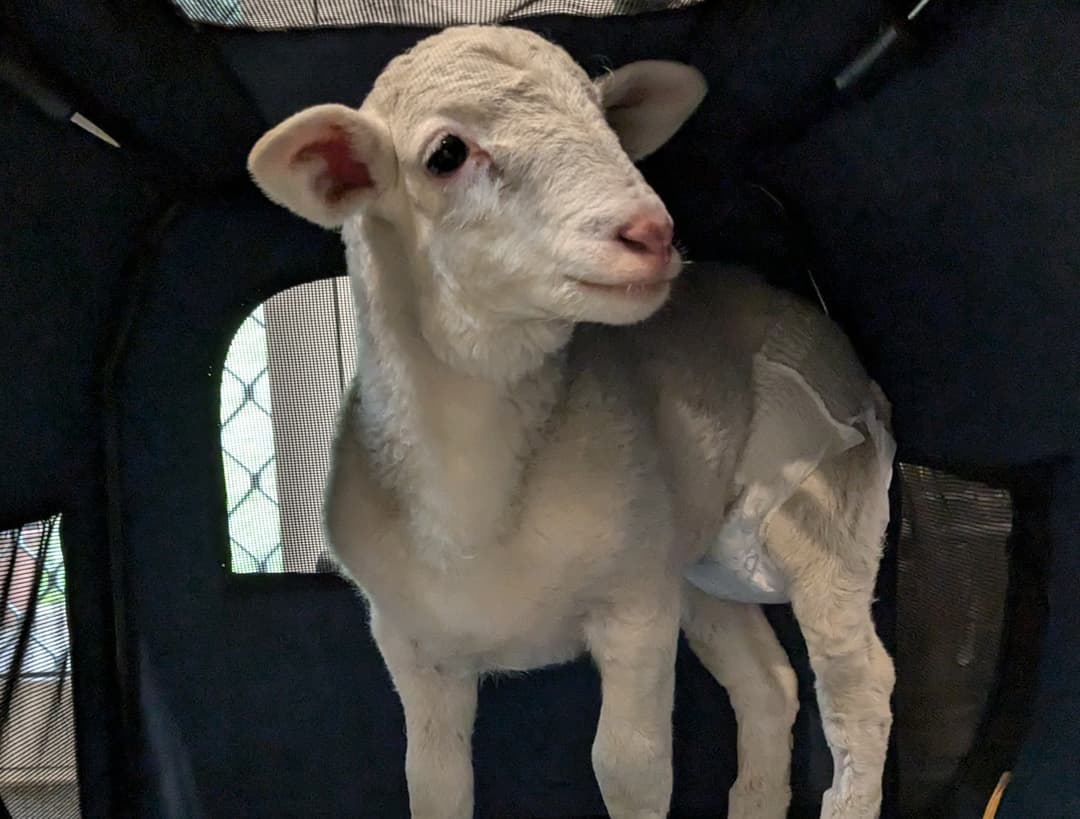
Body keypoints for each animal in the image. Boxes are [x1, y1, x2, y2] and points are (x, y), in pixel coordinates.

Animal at [247, 25, 894, 819]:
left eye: (606, 120)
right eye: (446, 154)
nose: (652, 232)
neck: (479, 511)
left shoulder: (634, 602)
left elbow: (629, 767)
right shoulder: (410, 643)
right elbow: (433, 779)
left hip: (823, 512)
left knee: (859, 688)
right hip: (697, 565)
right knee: (768, 682)